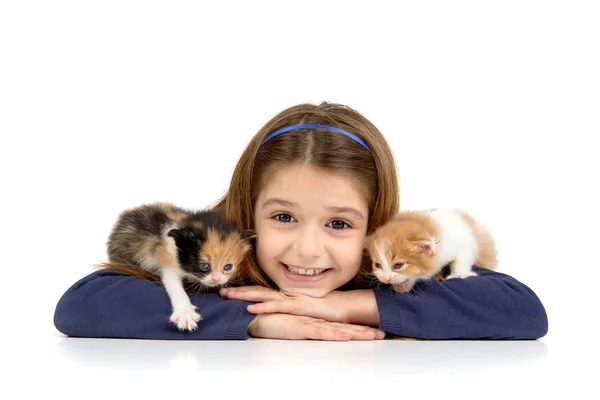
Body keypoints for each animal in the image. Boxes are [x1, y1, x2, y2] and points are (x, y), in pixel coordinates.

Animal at [101, 203, 255, 332]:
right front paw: (185, 313)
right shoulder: (169, 263)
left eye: (228, 267)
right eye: (204, 265)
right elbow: (174, 285)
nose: (216, 279)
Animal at [364, 209, 500, 294]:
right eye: (378, 265)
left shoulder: (464, 241)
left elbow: (463, 256)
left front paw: (460, 274)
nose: (386, 279)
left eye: (398, 265)